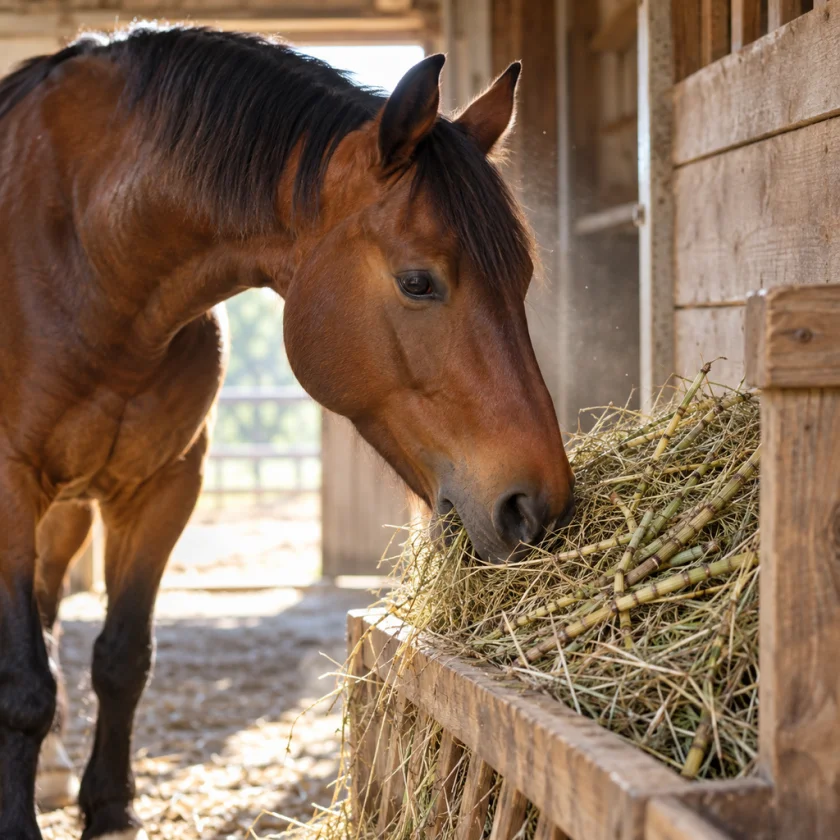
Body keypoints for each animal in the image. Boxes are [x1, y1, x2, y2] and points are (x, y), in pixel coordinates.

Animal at [0, 24, 575, 839]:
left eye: (522, 278)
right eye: (418, 281)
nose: (536, 504)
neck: (81, 247)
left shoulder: (165, 485)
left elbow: (122, 658)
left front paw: (109, 807)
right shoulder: (10, 485)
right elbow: (24, 682)